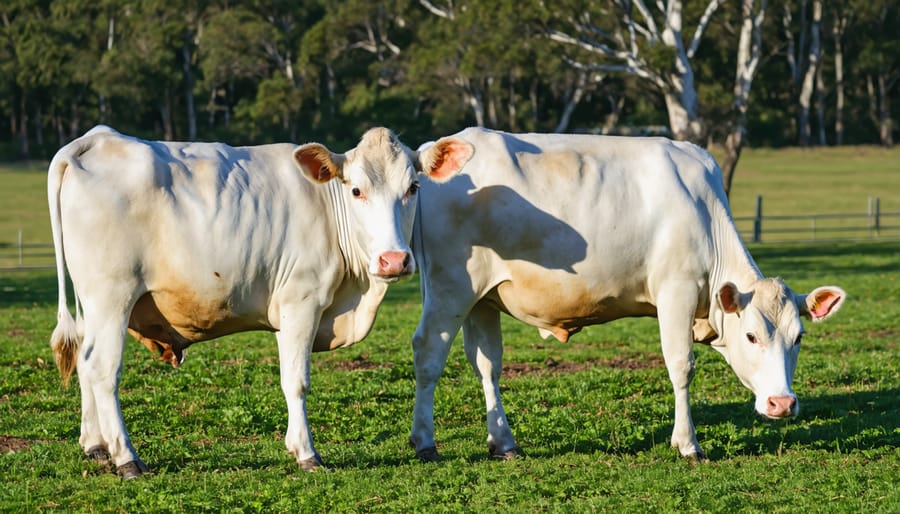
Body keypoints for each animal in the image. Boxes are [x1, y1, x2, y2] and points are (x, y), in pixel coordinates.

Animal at [47, 125, 464, 476]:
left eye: (413, 188)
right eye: (357, 190)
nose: (393, 259)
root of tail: (96, 138)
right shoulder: (302, 301)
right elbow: (297, 382)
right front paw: (308, 454)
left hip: (92, 306)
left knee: (84, 361)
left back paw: (96, 445)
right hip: (111, 297)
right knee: (102, 369)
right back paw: (126, 458)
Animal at [408, 128, 844, 460]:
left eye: (798, 337)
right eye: (752, 336)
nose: (782, 403)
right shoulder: (677, 290)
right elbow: (681, 365)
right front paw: (688, 444)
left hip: (481, 297)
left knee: (487, 365)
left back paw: (504, 442)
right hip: (450, 289)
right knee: (428, 352)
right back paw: (425, 441)